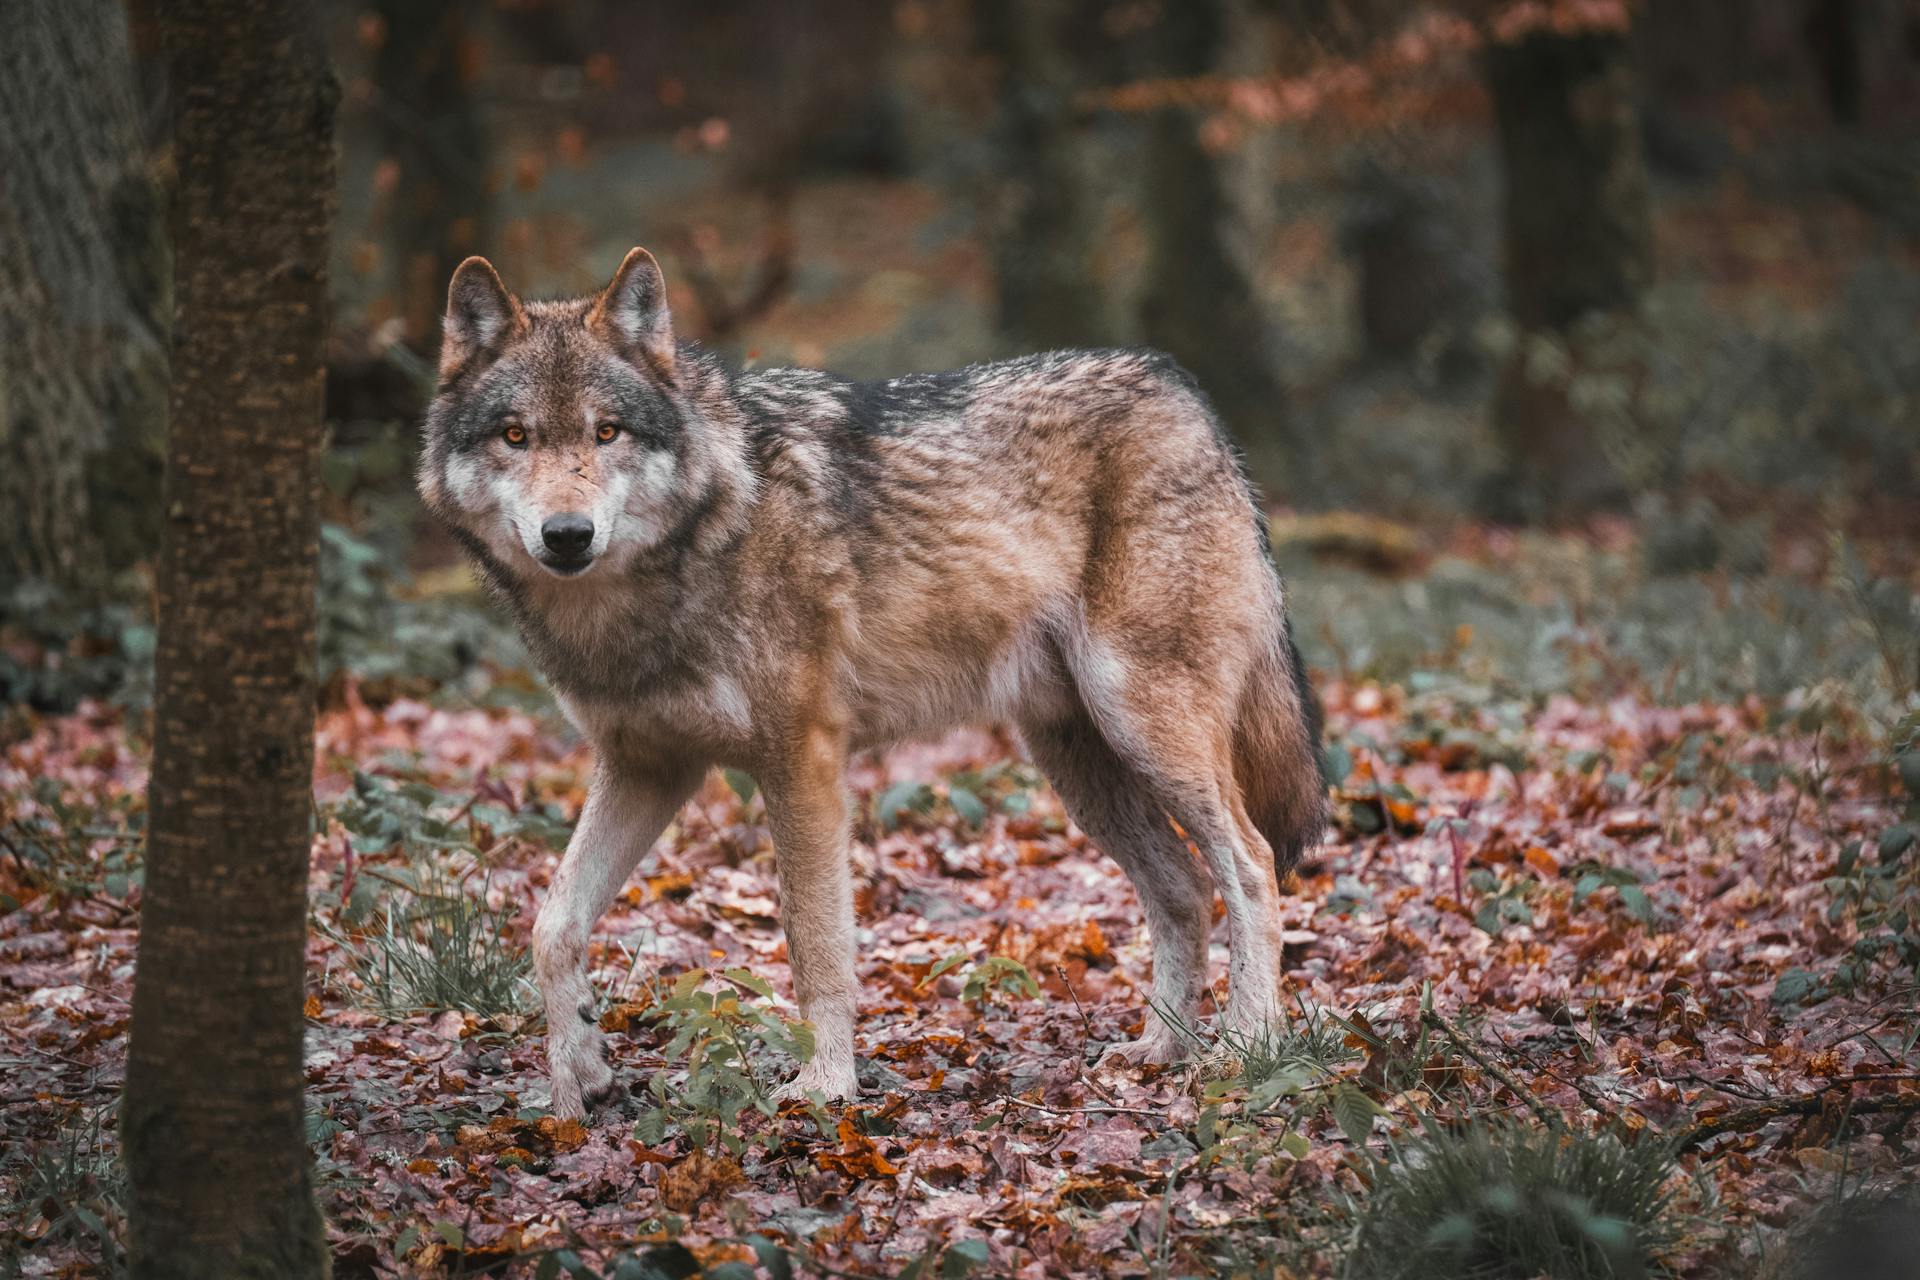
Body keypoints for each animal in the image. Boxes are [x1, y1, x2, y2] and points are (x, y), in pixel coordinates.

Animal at [418, 245, 1320, 1113]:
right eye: (514, 437)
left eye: (607, 432)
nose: (567, 535)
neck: (702, 535)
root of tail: (1186, 393)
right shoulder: (651, 766)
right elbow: (551, 925)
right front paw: (577, 1076)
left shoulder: (803, 759)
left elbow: (815, 944)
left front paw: (826, 1087)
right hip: (1080, 763)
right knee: (1182, 889)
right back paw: (1161, 1048)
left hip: (1142, 727)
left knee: (1250, 866)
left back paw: (1245, 1048)